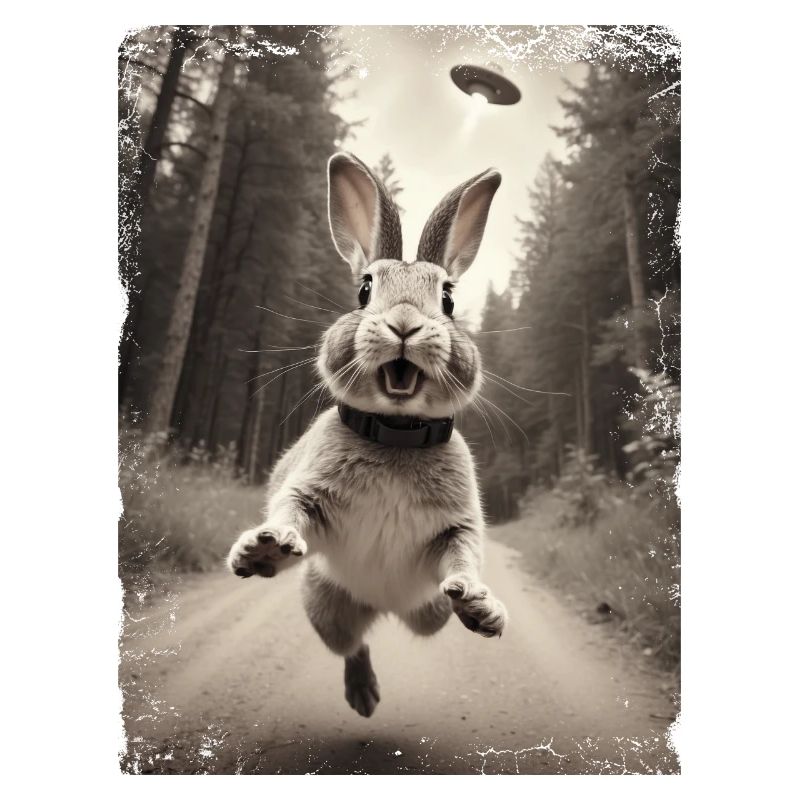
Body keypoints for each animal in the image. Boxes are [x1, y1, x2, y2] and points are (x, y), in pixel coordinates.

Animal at [227, 152, 508, 718]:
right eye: (364, 289)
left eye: (447, 298)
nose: (403, 324)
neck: (395, 434)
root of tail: (381, 606)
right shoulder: (308, 492)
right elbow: (288, 512)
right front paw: (264, 549)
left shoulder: (457, 528)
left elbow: (463, 556)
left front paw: (479, 601)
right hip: (324, 603)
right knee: (351, 644)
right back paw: (363, 695)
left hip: (428, 611)